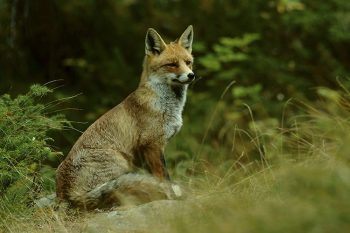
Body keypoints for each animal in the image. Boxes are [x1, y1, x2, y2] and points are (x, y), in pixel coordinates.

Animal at [56, 25, 196, 209]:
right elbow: (163, 177)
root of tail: (66, 194)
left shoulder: (150, 150)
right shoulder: (152, 144)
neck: (166, 104)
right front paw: (170, 196)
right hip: (122, 162)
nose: (191, 75)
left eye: (188, 62)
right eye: (172, 64)